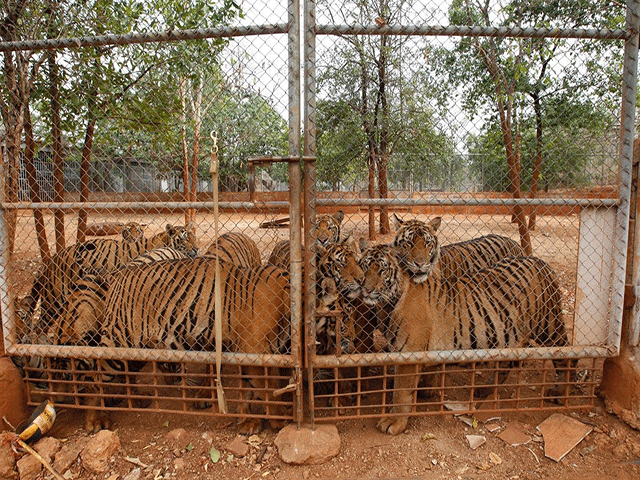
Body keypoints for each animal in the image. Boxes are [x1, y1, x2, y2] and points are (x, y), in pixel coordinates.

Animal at [360, 217, 576, 436]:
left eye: (382, 270)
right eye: (364, 267)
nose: (366, 289)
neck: (388, 302)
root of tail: (539, 260)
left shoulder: (408, 354)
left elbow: (401, 393)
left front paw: (394, 422)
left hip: (549, 326)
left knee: (567, 356)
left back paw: (561, 393)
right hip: (508, 333)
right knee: (506, 362)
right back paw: (486, 389)